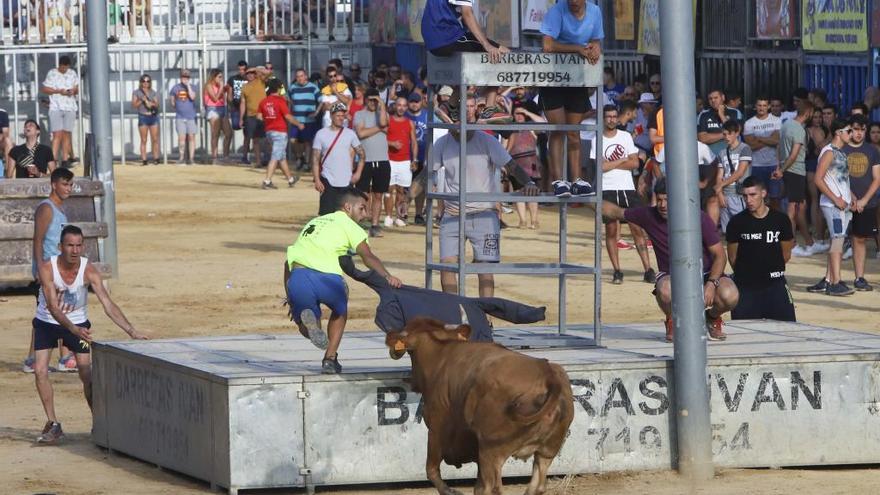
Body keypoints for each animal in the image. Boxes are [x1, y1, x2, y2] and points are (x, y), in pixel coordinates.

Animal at [384, 318, 572, 495]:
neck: (442, 354)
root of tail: (547, 373)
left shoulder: (436, 429)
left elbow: (432, 470)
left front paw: (450, 491)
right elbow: (477, 486)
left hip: (492, 451)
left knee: (493, 488)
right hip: (547, 451)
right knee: (536, 485)